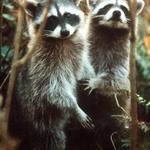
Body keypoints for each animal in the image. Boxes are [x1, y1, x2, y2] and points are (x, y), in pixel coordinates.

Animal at [8, 0, 94, 149]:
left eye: (67, 15)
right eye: (52, 19)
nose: (65, 32)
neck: (63, 40)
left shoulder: (77, 52)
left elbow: (82, 68)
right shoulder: (42, 63)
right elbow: (51, 89)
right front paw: (74, 107)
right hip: (38, 118)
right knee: (52, 139)